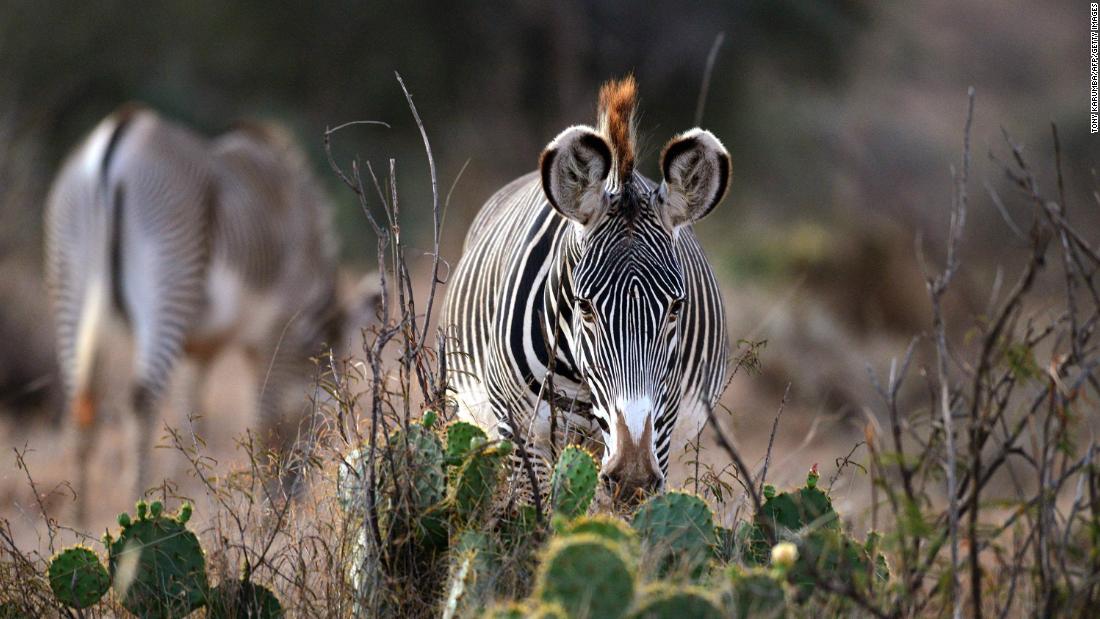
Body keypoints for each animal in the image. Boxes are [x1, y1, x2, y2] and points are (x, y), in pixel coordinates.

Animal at [46, 106, 378, 523]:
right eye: (324, 416)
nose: (297, 500)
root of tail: (121, 131)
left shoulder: (199, 347)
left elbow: (192, 415)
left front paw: (192, 487)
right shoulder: (277, 329)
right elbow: (264, 416)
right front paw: (264, 509)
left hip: (70, 278)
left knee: (80, 399)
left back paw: (79, 519)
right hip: (168, 276)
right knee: (141, 399)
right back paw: (137, 504)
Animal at [437, 76, 730, 503]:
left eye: (676, 308)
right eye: (585, 306)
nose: (632, 476)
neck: (579, 377)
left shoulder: (662, 421)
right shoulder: (521, 429)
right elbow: (535, 513)